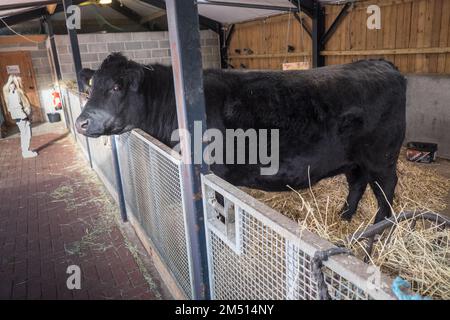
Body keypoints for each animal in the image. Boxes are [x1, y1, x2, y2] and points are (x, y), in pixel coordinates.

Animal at [75, 53, 406, 222]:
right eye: (91, 86)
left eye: (117, 87)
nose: (81, 122)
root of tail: (378, 62)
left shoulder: (215, 176)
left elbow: (219, 211)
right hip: (354, 160)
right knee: (357, 184)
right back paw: (345, 216)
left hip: (382, 157)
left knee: (386, 188)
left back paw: (379, 227)